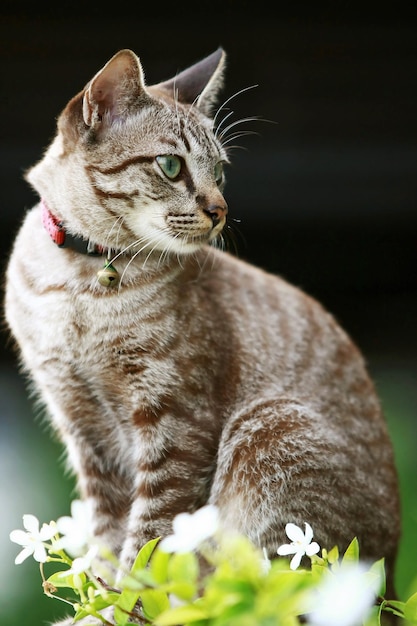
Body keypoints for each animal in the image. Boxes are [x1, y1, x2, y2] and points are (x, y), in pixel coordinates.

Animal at [4, 46, 400, 620]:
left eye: (220, 171)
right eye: (171, 166)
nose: (220, 211)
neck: (80, 282)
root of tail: (385, 592)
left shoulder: (173, 424)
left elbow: (145, 550)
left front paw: (123, 613)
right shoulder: (84, 430)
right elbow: (106, 544)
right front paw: (97, 606)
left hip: (269, 426)